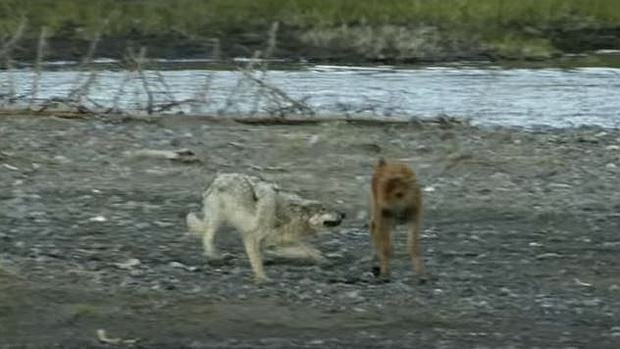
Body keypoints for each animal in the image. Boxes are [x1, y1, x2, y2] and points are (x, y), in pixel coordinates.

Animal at [186, 173, 346, 282]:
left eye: (330, 208)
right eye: (324, 210)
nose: (344, 214)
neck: (288, 215)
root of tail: (218, 178)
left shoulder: (280, 240)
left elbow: (310, 250)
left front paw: (322, 260)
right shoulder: (252, 237)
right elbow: (257, 261)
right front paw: (262, 278)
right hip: (218, 220)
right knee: (207, 236)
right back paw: (213, 256)